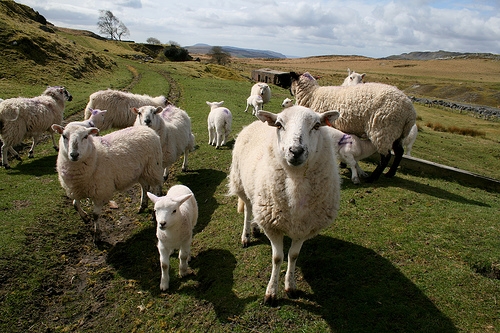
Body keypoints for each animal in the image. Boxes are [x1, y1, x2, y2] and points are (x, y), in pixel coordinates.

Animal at [229, 105, 342, 304]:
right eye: (279, 125)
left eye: (317, 125)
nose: (296, 151)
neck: (296, 182)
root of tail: (256, 122)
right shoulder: (272, 226)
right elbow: (277, 257)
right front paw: (271, 293)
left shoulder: (305, 227)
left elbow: (293, 256)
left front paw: (291, 286)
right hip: (241, 184)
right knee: (248, 210)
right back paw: (246, 235)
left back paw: (255, 228)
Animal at [288, 72, 416, 182]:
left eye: (292, 79)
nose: (289, 90)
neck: (312, 95)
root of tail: (410, 112)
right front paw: (343, 164)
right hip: (396, 133)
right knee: (399, 152)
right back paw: (390, 173)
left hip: (383, 130)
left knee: (386, 156)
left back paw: (373, 178)